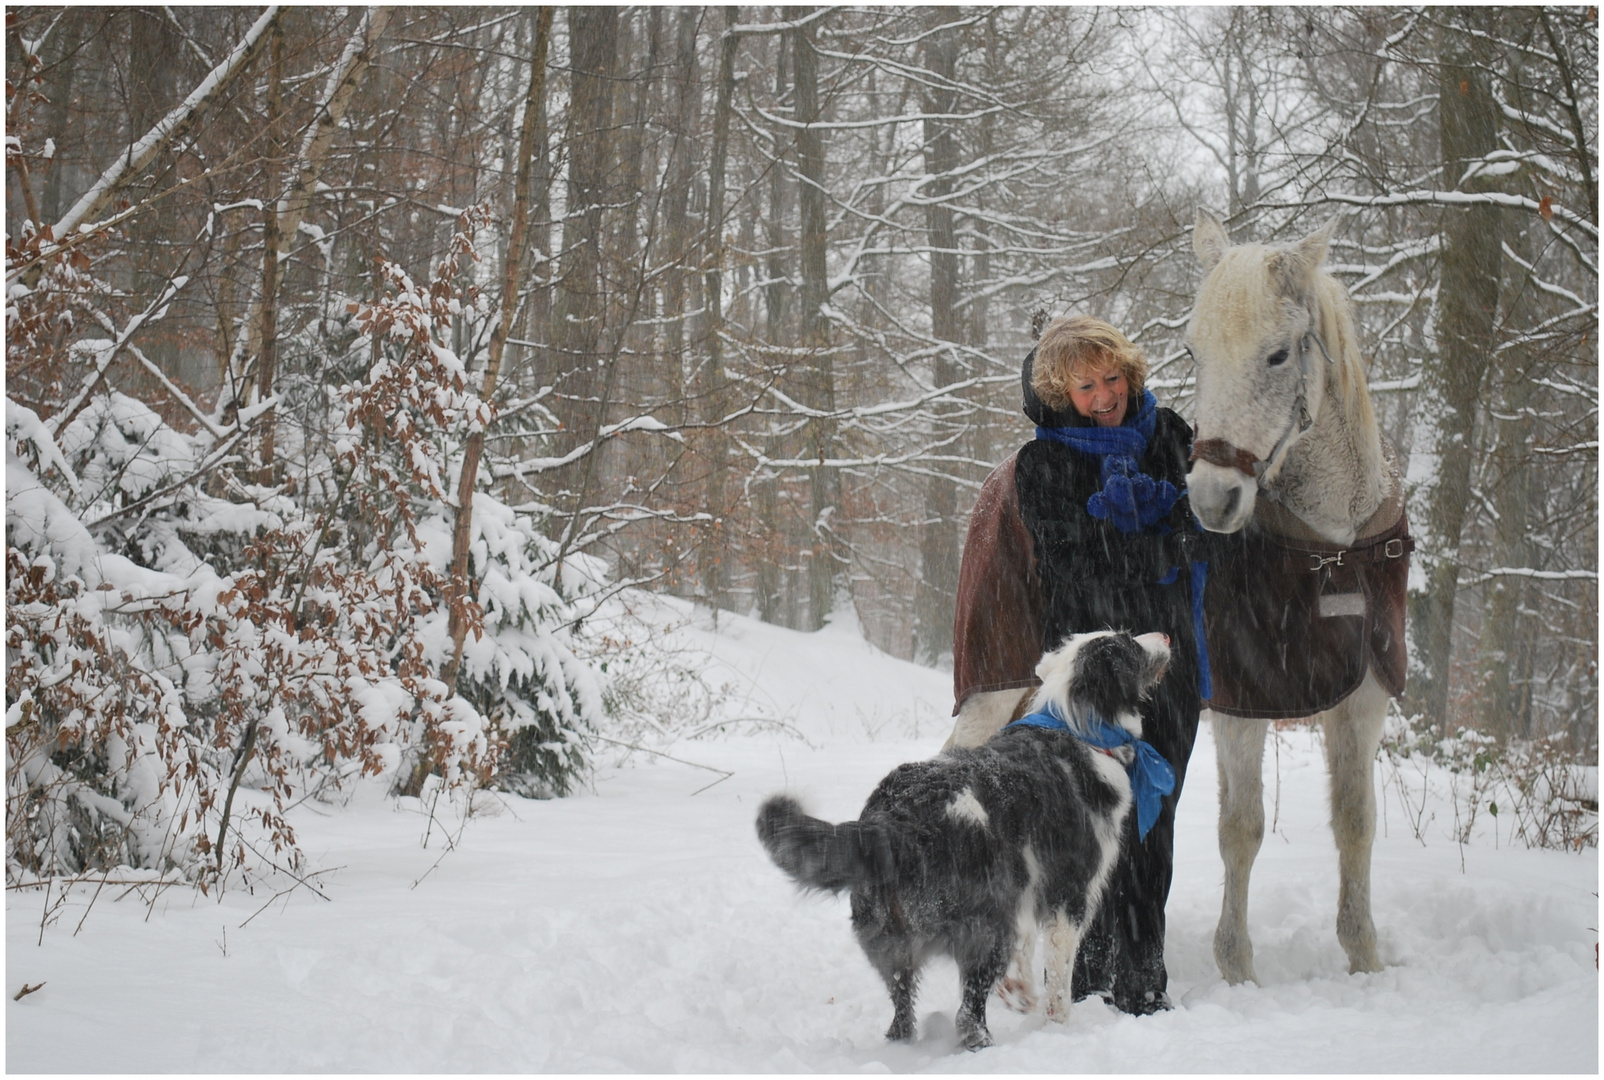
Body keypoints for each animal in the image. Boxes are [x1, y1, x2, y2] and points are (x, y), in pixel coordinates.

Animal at [1180, 207, 1405, 982]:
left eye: (1278, 356)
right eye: (1194, 353)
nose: (1211, 500)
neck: (1328, 551)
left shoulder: (1362, 701)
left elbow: (1357, 822)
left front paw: (1364, 954)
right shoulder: (1241, 706)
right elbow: (1241, 829)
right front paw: (1236, 968)